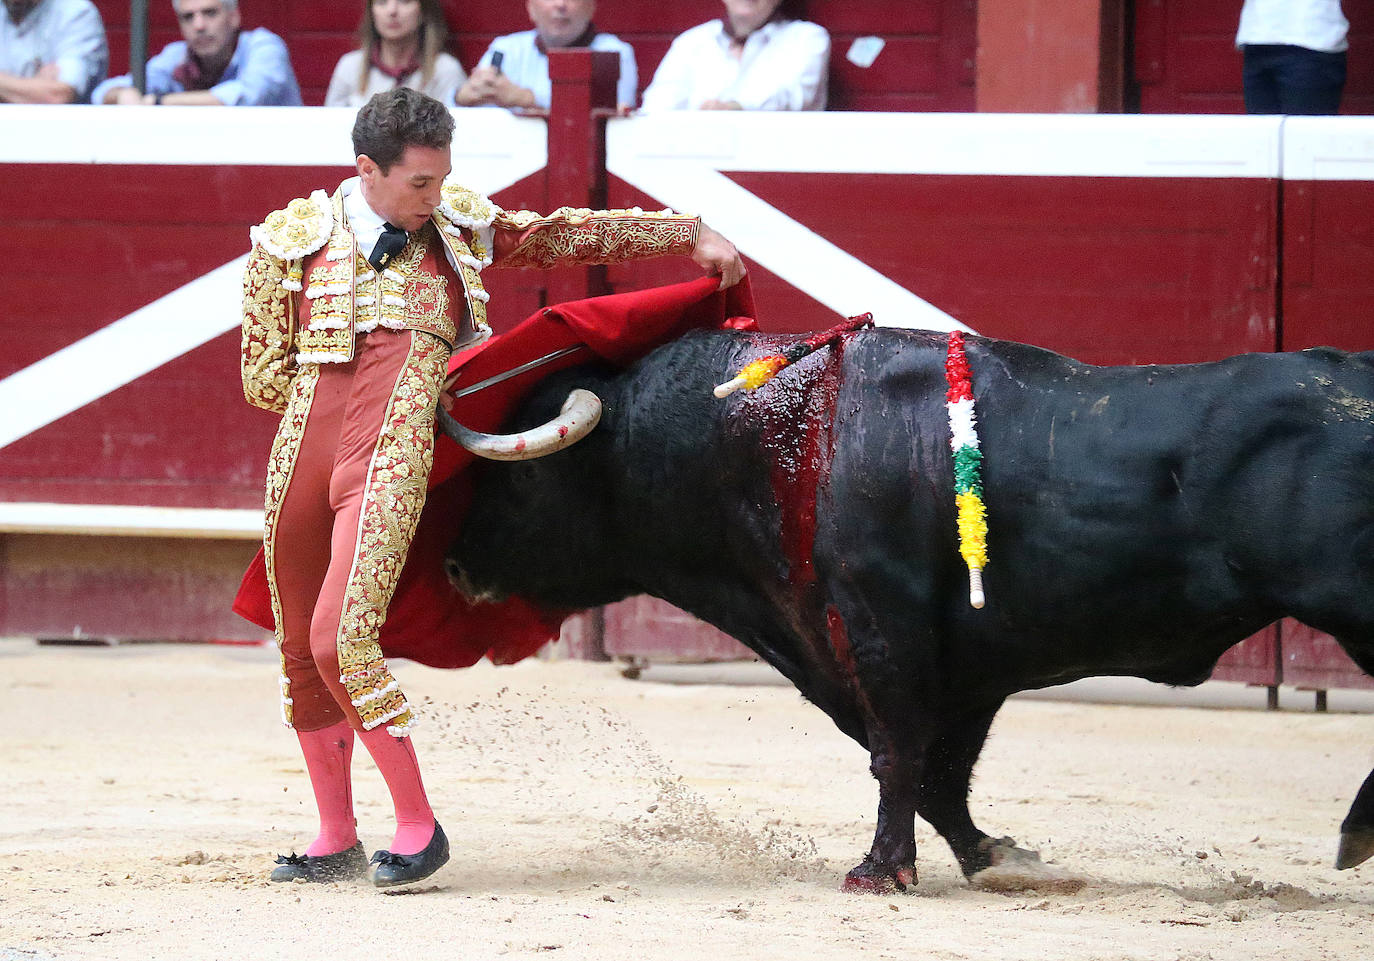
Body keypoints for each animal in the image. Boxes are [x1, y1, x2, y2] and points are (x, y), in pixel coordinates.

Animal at [442, 331, 1374, 896]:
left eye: (527, 474)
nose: (453, 562)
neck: (772, 438)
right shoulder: (960, 663)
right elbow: (937, 771)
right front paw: (997, 857)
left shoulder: (880, 628)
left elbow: (898, 755)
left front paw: (879, 870)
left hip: (1353, 608)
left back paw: (1358, 831)